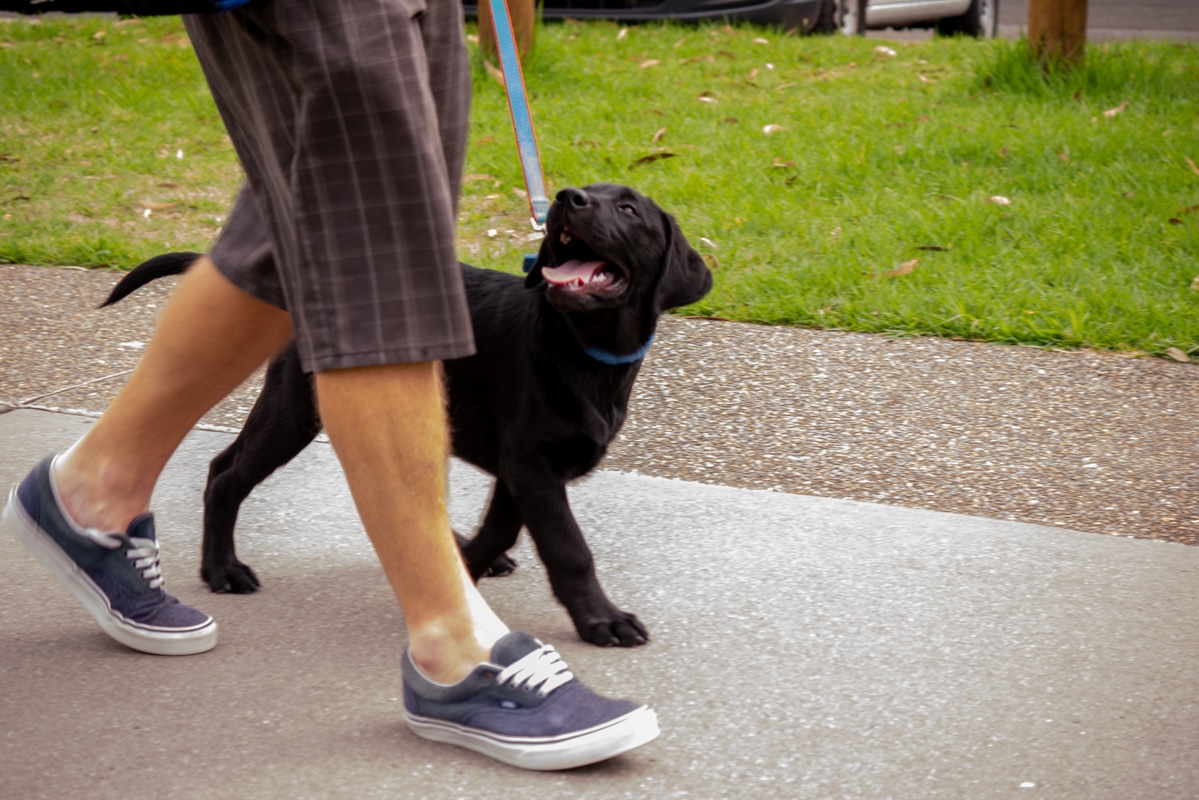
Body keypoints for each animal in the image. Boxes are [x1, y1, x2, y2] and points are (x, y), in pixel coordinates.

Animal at [103, 184, 709, 647]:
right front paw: (601, 619)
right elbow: (568, 548)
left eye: (628, 208)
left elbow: (501, 528)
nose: (567, 197)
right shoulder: (531, 463)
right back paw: (221, 569)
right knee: (226, 473)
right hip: (296, 407)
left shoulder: (522, 468)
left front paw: (465, 567)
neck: (583, 349)